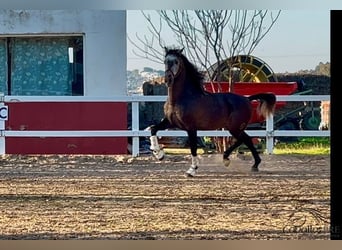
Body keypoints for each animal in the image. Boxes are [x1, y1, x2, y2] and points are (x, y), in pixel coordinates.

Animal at [147, 46, 276, 176]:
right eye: (165, 61)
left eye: (176, 62)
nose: (168, 79)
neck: (180, 99)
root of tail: (246, 99)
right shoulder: (170, 122)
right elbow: (153, 129)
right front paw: (158, 154)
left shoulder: (191, 128)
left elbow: (193, 148)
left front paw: (192, 170)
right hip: (235, 127)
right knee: (247, 139)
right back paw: (252, 164)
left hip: (235, 127)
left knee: (243, 139)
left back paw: (228, 159)